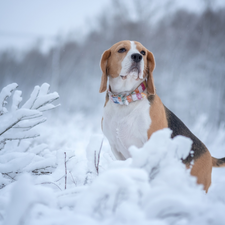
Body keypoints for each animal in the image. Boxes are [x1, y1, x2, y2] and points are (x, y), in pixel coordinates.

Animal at [100, 40, 225, 192]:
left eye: (143, 52)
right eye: (122, 49)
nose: (137, 57)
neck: (126, 100)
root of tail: (209, 156)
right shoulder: (116, 148)